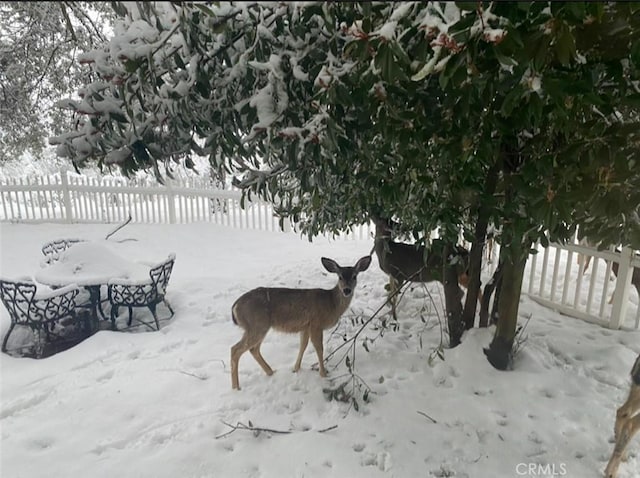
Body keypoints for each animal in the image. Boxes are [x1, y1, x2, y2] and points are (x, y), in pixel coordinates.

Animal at [229, 256, 370, 390]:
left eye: (354, 276)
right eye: (340, 277)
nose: (347, 290)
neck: (331, 304)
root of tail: (235, 307)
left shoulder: (305, 326)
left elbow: (303, 345)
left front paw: (295, 368)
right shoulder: (316, 323)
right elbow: (319, 348)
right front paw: (323, 374)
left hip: (258, 326)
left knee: (253, 349)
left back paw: (271, 372)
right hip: (257, 324)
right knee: (235, 349)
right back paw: (236, 387)